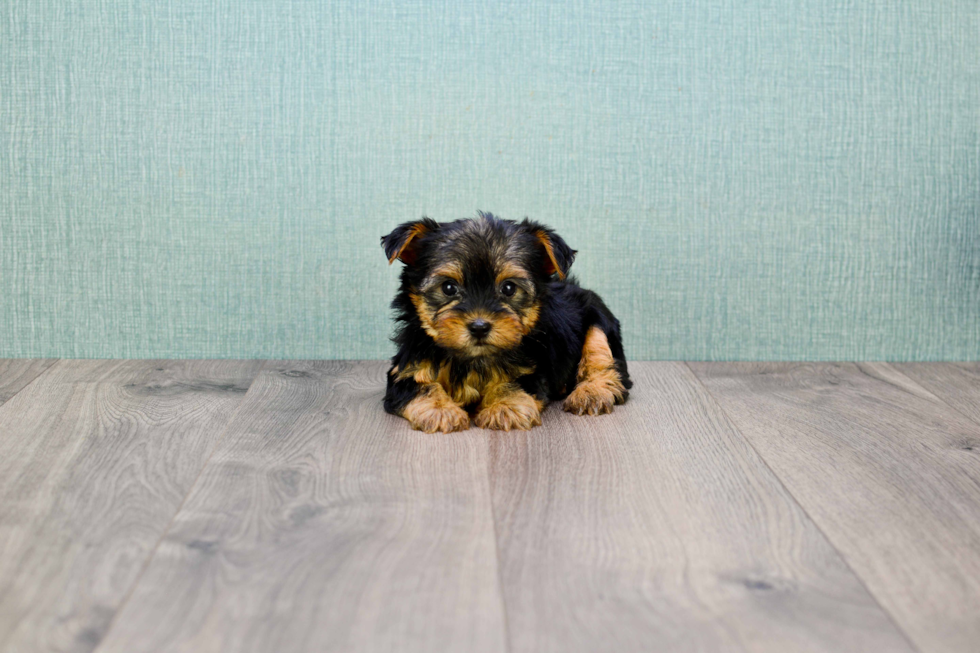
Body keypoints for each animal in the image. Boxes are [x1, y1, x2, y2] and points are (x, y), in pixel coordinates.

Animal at [378, 211, 632, 430]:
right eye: (448, 288)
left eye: (509, 288)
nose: (479, 327)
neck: (473, 359)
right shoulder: (407, 369)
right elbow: (419, 387)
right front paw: (441, 411)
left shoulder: (533, 370)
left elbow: (514, 382)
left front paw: (505, 408)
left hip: (598, 319)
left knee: (602, 360)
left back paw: (592, 393)